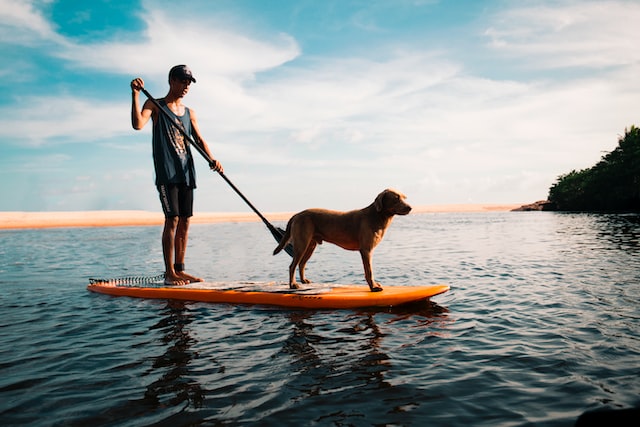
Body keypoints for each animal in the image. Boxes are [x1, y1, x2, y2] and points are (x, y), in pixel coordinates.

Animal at [272, 189, 412, 292]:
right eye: (396, 198)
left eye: (404, 197)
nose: (410, 207)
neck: (377, 216)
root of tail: (297, 214)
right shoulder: (366, 250)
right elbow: (369, 271)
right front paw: (373, 287)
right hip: (302, 244)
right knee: (292, 266)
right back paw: (293, 285)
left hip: (310, 245)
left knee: (301, 264)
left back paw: (304, 281)